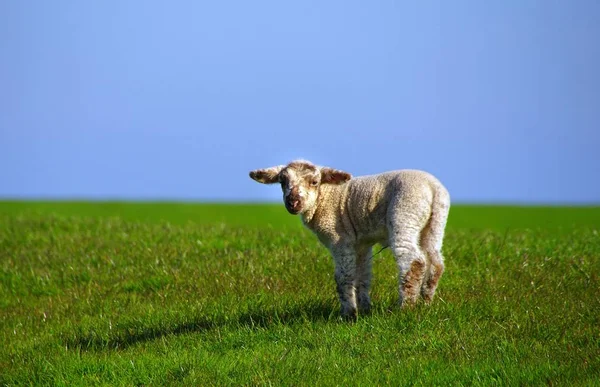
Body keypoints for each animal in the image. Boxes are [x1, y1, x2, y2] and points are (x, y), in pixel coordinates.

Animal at [248, 159, 450, 320]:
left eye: (314, 182)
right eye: (283, 182)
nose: (293, 202)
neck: (325, 197)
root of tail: (433, 187)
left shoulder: (340, 240)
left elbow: (344, 277)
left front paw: (349, 314)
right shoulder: (361, 243)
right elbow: (363, 276)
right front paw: (365, 309)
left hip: (405, 213)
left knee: (414, 261)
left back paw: (406, 308)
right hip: (435, 223)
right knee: (436, 261)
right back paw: (426, 303)